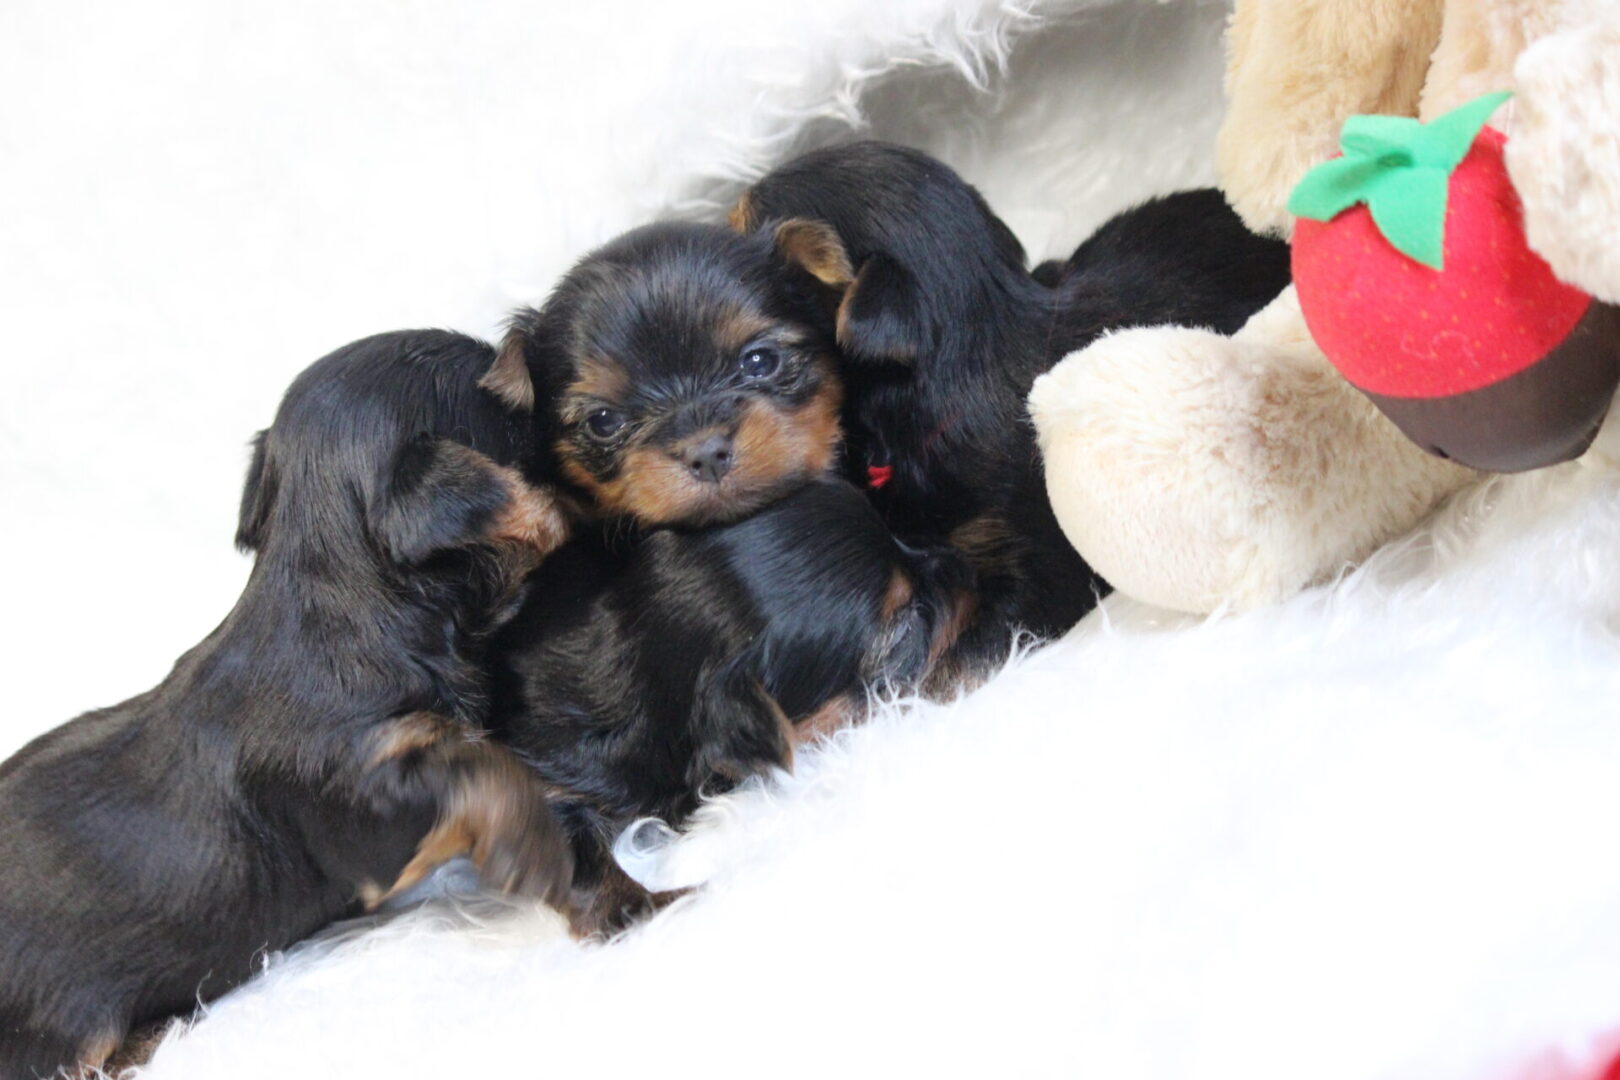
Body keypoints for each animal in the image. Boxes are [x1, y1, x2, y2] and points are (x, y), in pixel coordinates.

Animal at [0, 330, 576, 1080]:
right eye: (515, 404)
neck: (341, 600)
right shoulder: (365, 795)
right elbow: (479, 768)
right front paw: (536, 845)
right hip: (54, 1026)